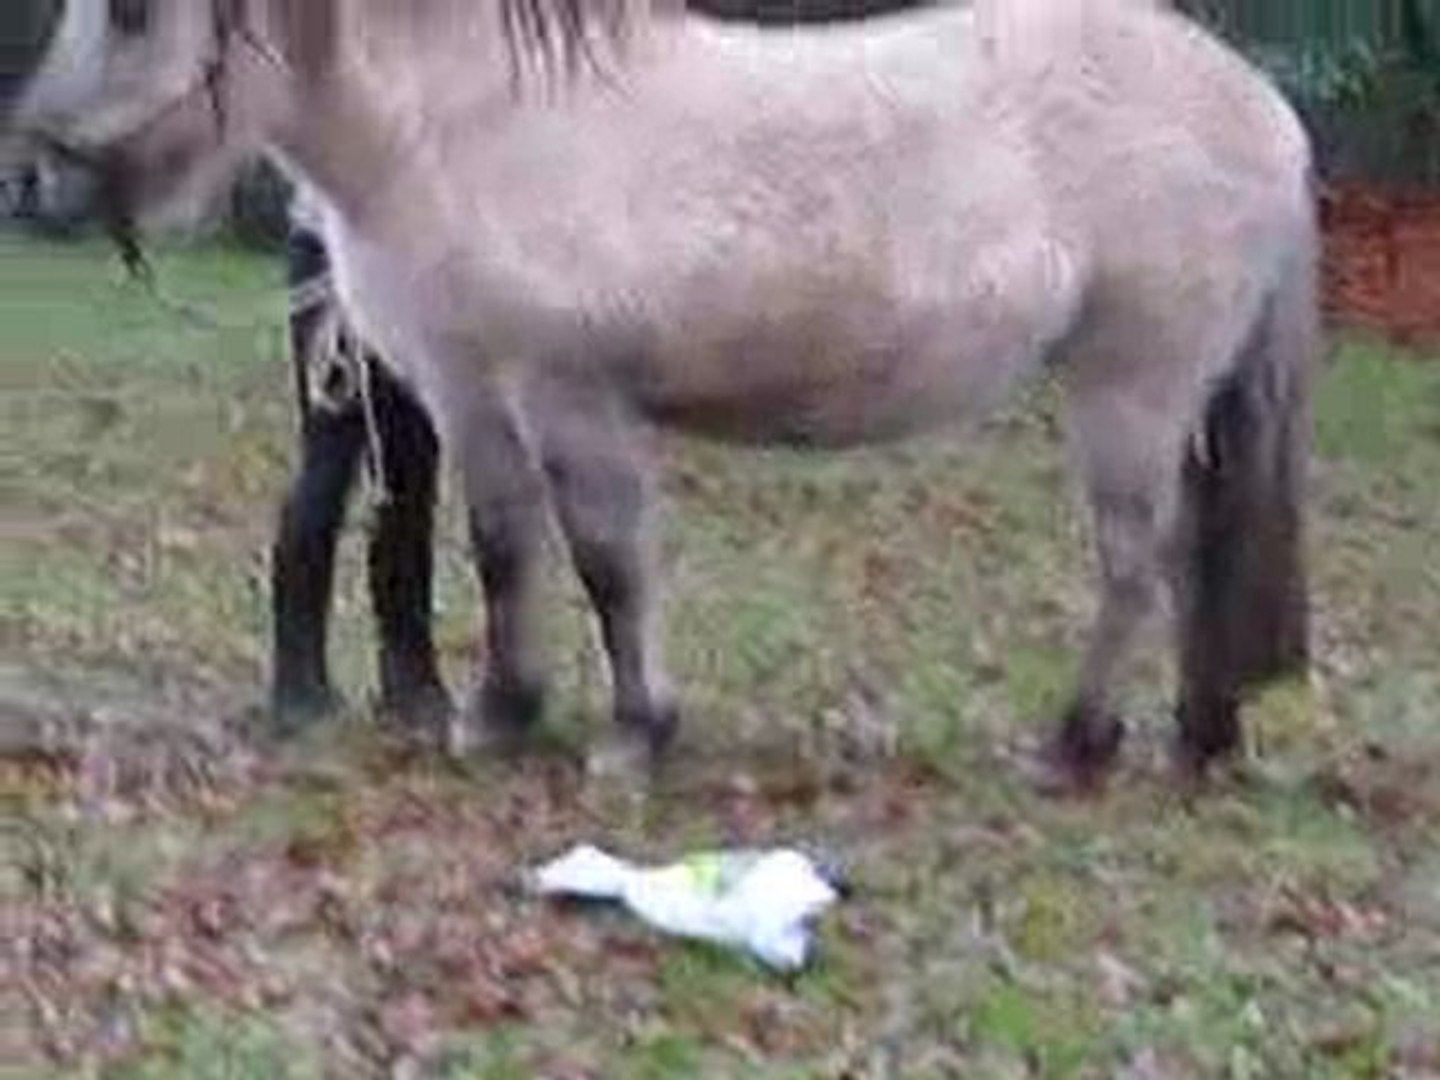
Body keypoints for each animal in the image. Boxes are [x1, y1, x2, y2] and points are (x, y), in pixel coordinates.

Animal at [10, 0, 1318, 791]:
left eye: (133, 13)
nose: (30, 179)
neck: (477, 126)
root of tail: (1262, 106)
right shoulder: (473, 398)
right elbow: (504, 552)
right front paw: (502, 714)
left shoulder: (569, 397)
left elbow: (606, 563)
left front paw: (635, 734)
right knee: (1193, 559)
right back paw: (1198, 736)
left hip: (1129, 389)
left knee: (1138, 566)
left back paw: (1078, 746)